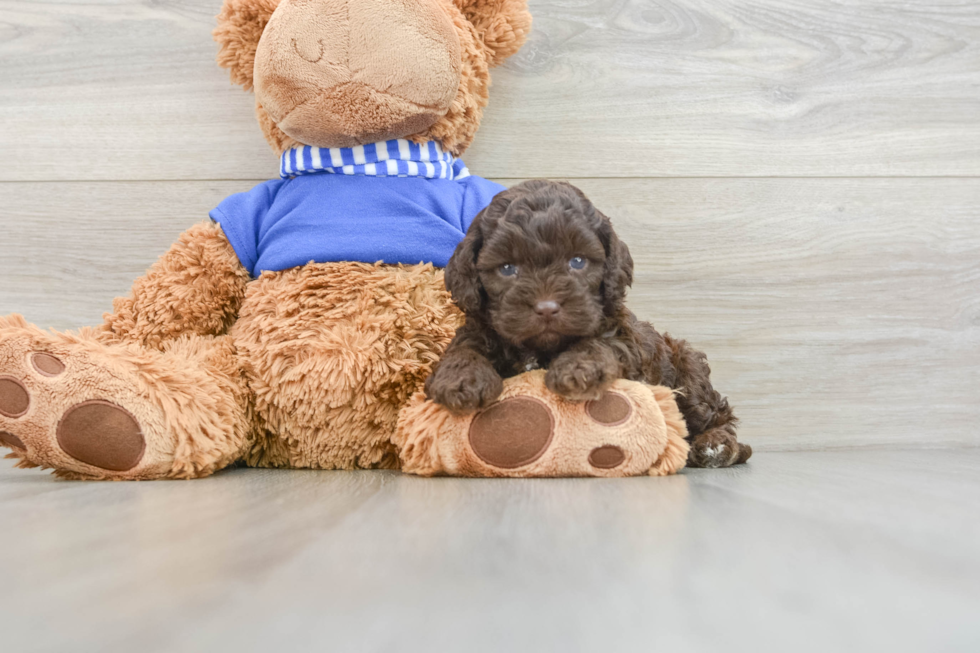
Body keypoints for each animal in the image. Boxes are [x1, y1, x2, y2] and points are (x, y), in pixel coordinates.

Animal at [424, 178, 756, 466]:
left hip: (688, 371)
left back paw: (716, 446)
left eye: (578, 261)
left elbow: (602, 343)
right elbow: (464, 346)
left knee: (716, 415)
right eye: (507, 268)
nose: (546, 308)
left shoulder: (624, 335)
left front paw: (578, 368)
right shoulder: (480, 327)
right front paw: (461, 379)